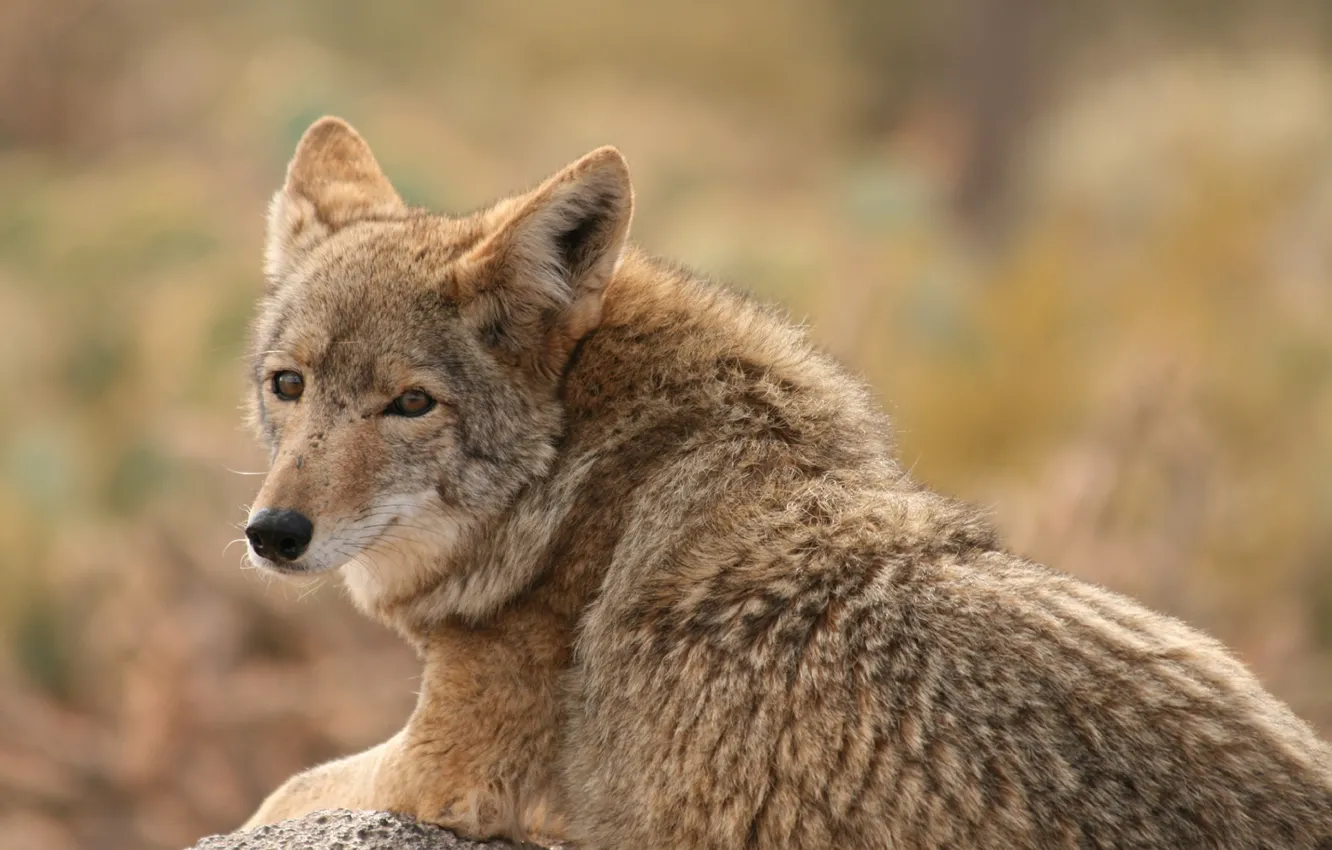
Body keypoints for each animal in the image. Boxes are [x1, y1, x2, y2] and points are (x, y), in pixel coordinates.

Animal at [236, 116, 1332, 848]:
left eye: (410, 404)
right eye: (289, 386)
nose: (273, 531)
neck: (576, 479)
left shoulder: (451, 774)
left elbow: (280, 789)